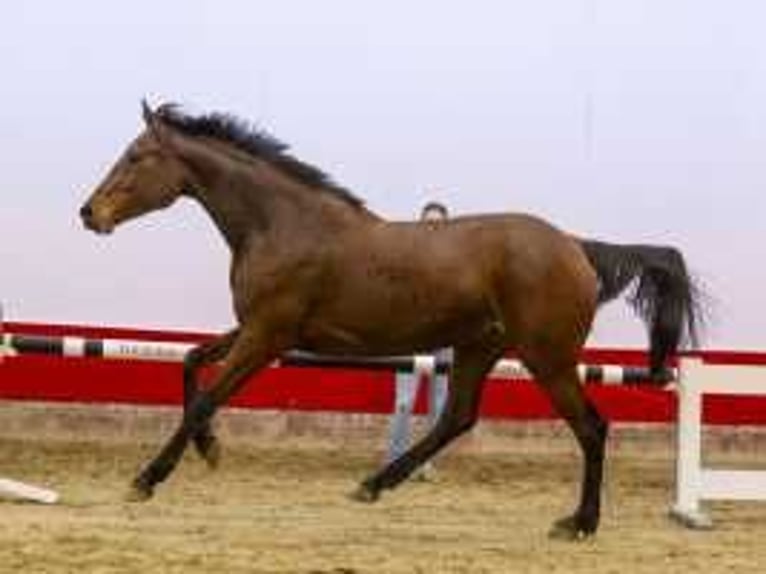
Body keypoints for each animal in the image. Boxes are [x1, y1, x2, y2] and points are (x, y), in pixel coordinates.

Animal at [78, 102, 704, 540]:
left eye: (136, 156)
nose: (89, 213)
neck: (282, 224)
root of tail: (578, 247)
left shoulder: (266, 336)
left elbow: (206, 396)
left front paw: (146, 479)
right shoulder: (256, 329)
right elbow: (188, 361)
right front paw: (209, 449)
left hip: (547, 358)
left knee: (592, 428)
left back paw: (578, 523)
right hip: (480, 347)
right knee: (457, 418)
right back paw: (373, 485)